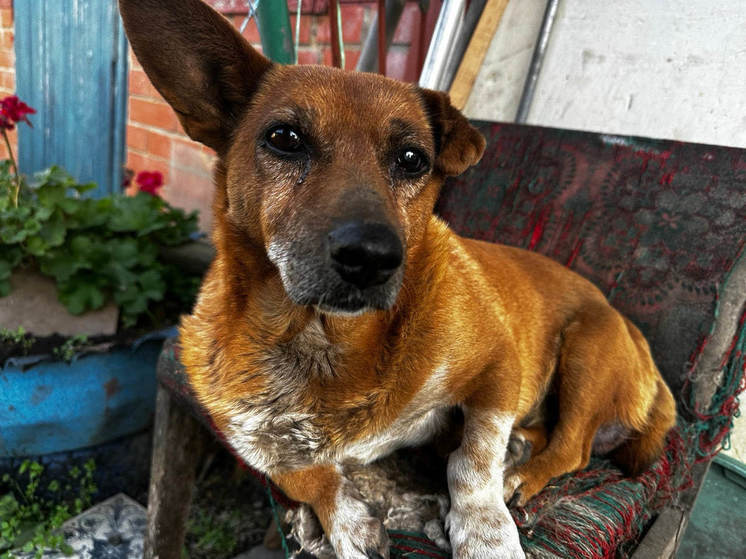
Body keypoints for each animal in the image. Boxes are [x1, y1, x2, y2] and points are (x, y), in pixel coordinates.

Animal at [120, 2, 676, 556]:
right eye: (284, 138)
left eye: (412, 159)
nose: (370, 257)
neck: (319, 344)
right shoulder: (260, 448)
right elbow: (314, 480)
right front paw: (349, 525)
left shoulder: (500, 366)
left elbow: (472, 460)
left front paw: (485, 532)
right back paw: (520, 448)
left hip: (587, 346)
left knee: (574, 447)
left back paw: (522, 472)